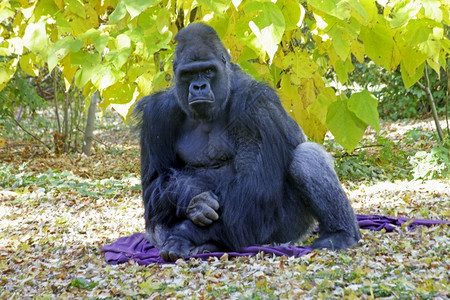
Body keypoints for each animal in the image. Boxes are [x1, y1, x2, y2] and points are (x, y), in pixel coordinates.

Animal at [134, 22, 362, 262]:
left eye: (208, 71)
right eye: (188, 74)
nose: (198, 87)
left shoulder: (256, 105)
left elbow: (254, 189)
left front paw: (186, 233)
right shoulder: (158, 113)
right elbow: (155, 183)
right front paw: (193, 198)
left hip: (288, 231)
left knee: (305, 157)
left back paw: (341, 234)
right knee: (156, 217)